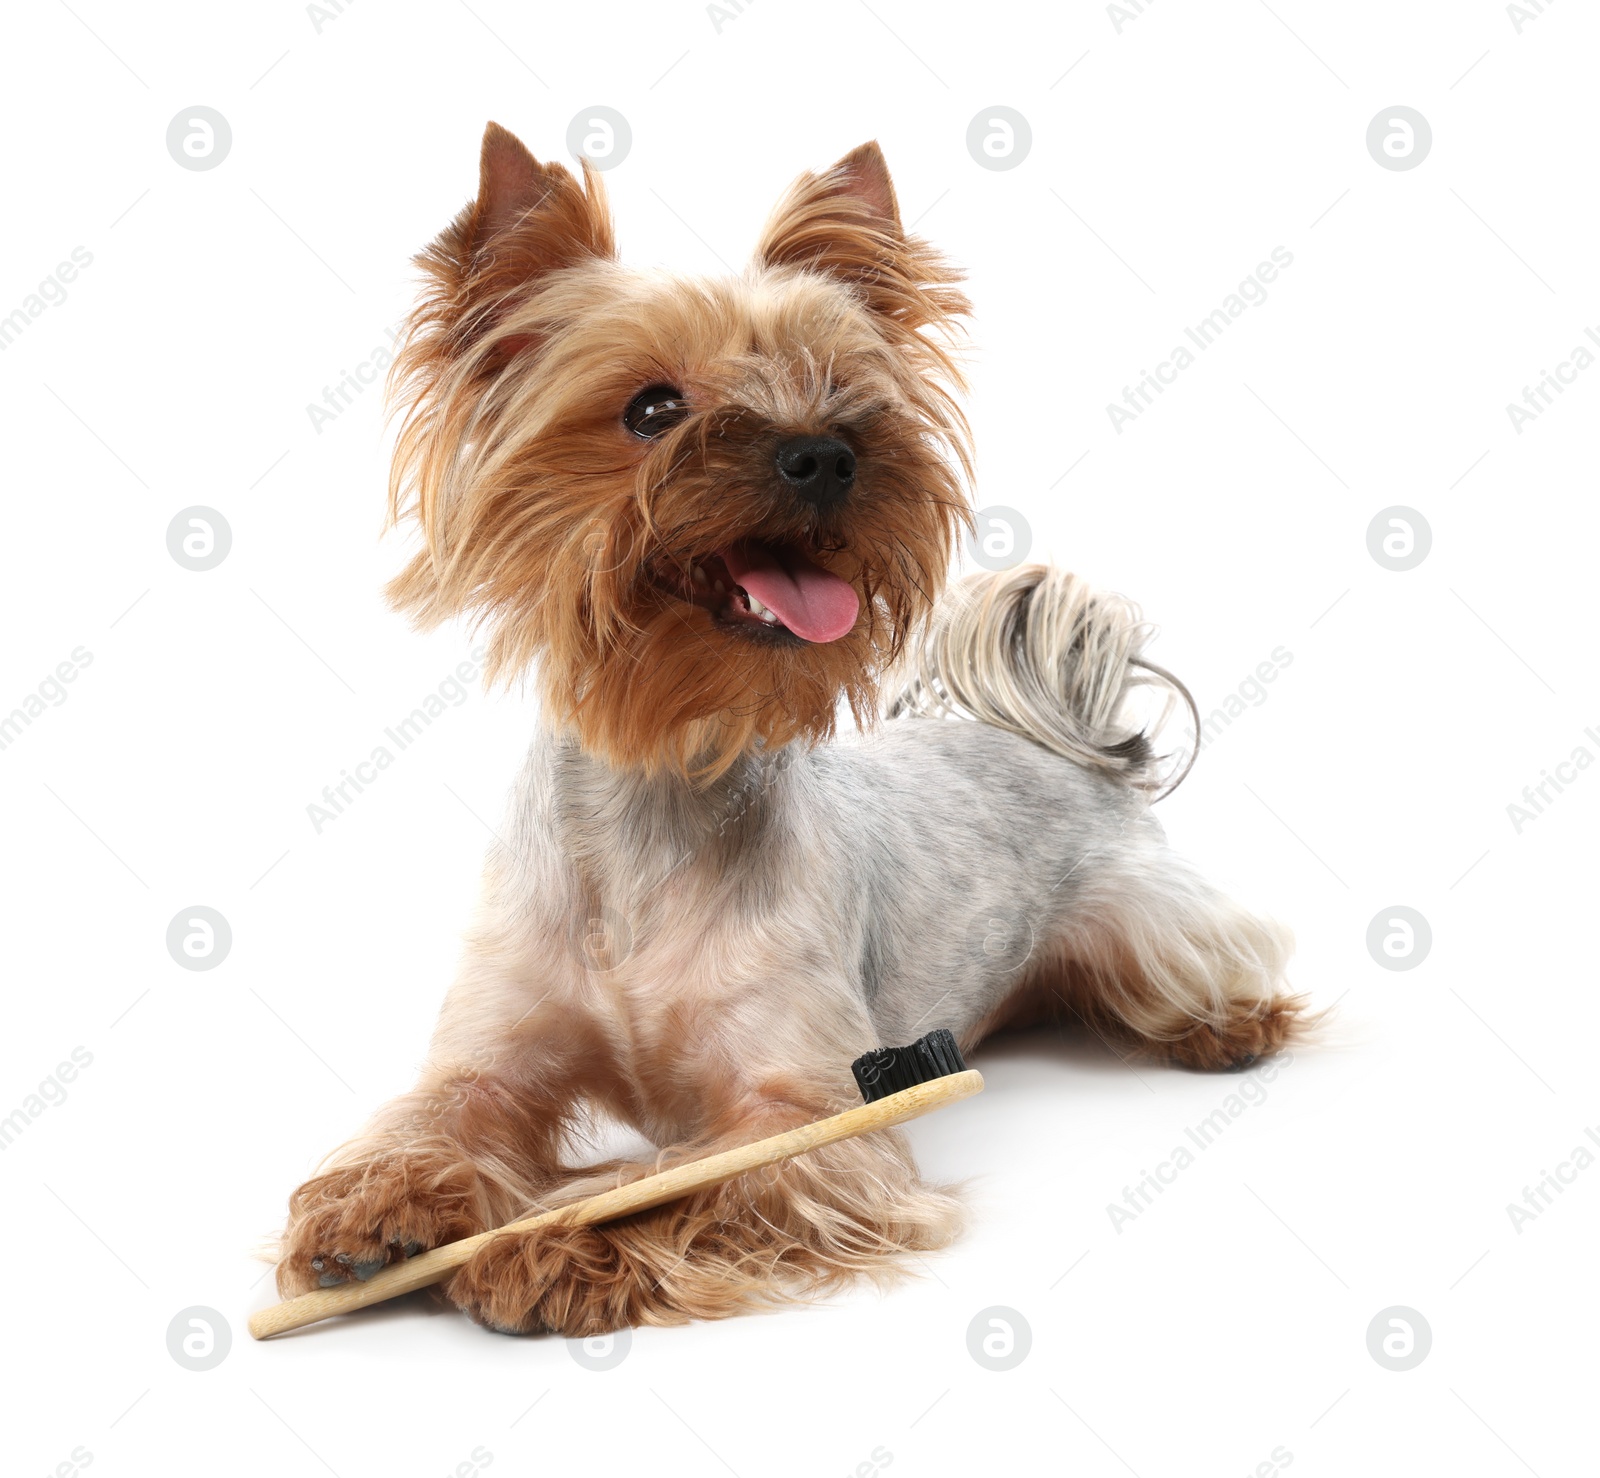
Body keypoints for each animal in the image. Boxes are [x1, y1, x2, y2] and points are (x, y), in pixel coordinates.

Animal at [275, 121, 1299, 1330]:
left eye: (844, 389)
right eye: (651, 408)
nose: (826, 451)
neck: (662, 778)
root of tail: (1054, 736)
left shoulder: (805, 1110)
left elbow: (673, 1179)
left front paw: (555, 1240)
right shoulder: (491, 1054)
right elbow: (432, 1112)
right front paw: (377, 1200)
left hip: (1146, 923)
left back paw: (1226, 1023)